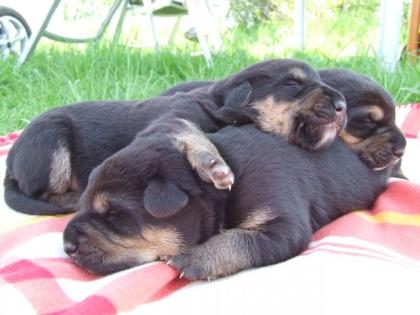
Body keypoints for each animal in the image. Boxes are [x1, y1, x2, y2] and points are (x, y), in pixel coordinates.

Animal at [4, 58, 346, 217]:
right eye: (293, 84)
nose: (343, 105)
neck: (222, 108)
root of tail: (10, 163)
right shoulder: (171, 119)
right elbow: (189, 132)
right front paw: (213, 165)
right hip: (51, 141)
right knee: (41, 192)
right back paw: (76, 196)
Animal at [62, 120, 394, 278]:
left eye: (114, 216)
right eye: (81, 204)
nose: (67, 247)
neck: (219, 195)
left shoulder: (281, 222)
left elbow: (239, 239)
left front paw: (195, 259)